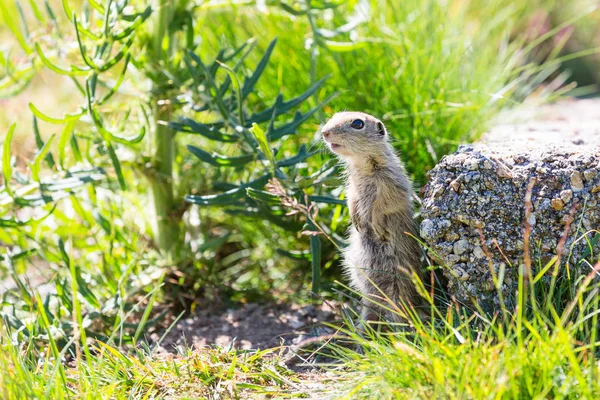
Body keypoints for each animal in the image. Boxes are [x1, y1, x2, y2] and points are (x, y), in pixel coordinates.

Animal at [322, 111, 424, 324]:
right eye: (335, 115)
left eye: (358, 123)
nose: (324, 132)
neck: (361, 163)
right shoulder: (352, 185)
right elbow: (351, 198)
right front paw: (356, 220)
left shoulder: (392, 182)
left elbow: (383, 204)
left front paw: (376, 225)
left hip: (398, 293)